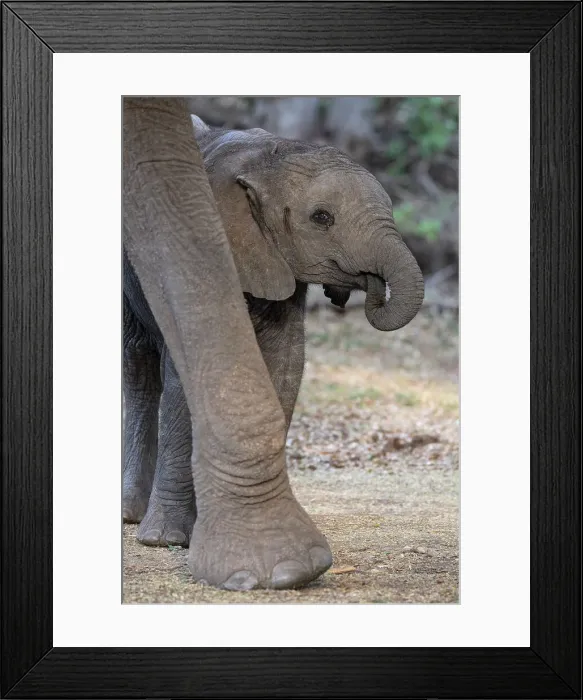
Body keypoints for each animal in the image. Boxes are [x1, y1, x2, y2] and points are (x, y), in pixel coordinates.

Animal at [123, 98, 424, 590]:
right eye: (321, 218)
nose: (368, 288)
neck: (266, 159)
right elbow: (182, 380)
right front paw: (165, 540)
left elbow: (286, 365)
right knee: (137, 368)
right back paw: (131, 515)